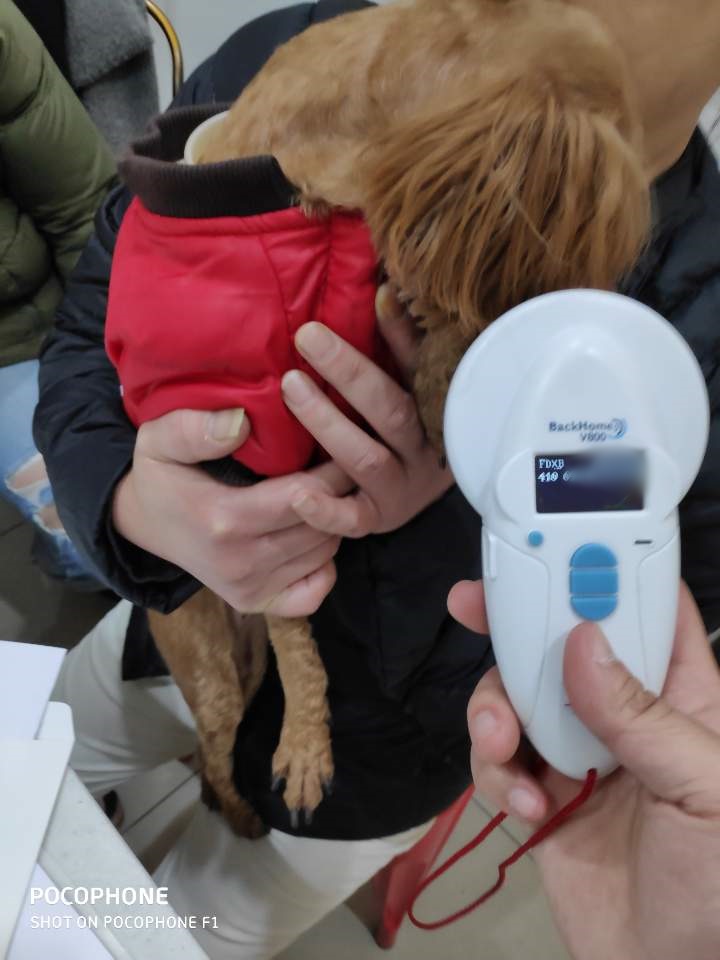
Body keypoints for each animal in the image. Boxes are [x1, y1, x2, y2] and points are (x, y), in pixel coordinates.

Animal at [148, 0, 652, 836]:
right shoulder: (262, 478)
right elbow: (299, 646)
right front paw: (305, 752)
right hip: (213, 667)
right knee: (217, 755)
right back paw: (243, 813)